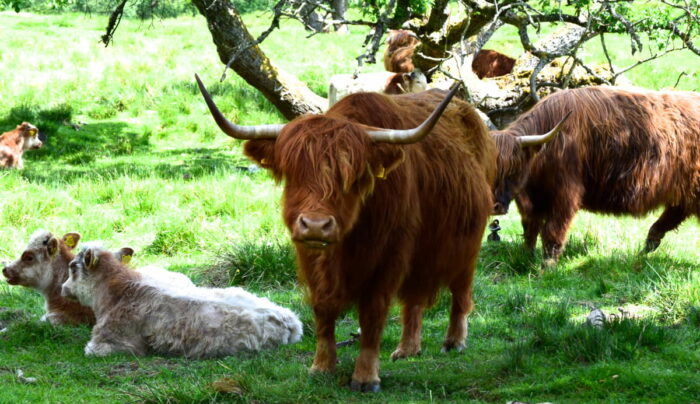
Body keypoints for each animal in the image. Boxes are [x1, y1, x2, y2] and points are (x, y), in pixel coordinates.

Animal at [194, 73, 494, 392]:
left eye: (350, 177)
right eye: (293, 172)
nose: (315, 225)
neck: (347, 246)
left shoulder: (390, 256)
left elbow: (373, 314)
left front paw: (365, 377)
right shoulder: (312, 258)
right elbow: (323, 311)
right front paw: (322, 367)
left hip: (468, 241)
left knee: (460, 290)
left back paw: (454, 341)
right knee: (414, 298)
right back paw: (407, 349)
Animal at [492, 85, 700, 264]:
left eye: (512, 171)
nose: (494, 206)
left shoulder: (565, 195)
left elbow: (552, 232)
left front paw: (547, 268)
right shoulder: (532, 200)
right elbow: (530, 228)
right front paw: (527, 256)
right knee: (673, 214)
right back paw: (646, 247)